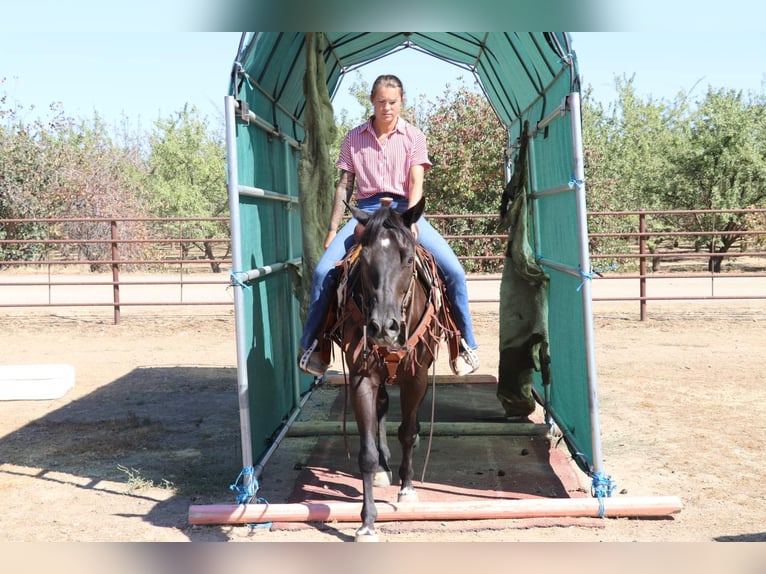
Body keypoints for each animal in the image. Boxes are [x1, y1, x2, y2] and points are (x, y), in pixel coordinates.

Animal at [338, 198, 450, 544]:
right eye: (365, 259)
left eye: (409, 258)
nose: (382, 327)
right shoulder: (361, 378)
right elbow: (366, 452)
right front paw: (367, 522)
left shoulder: (416, 377)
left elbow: (407, 432)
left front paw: (408, 488)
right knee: (382, 408)